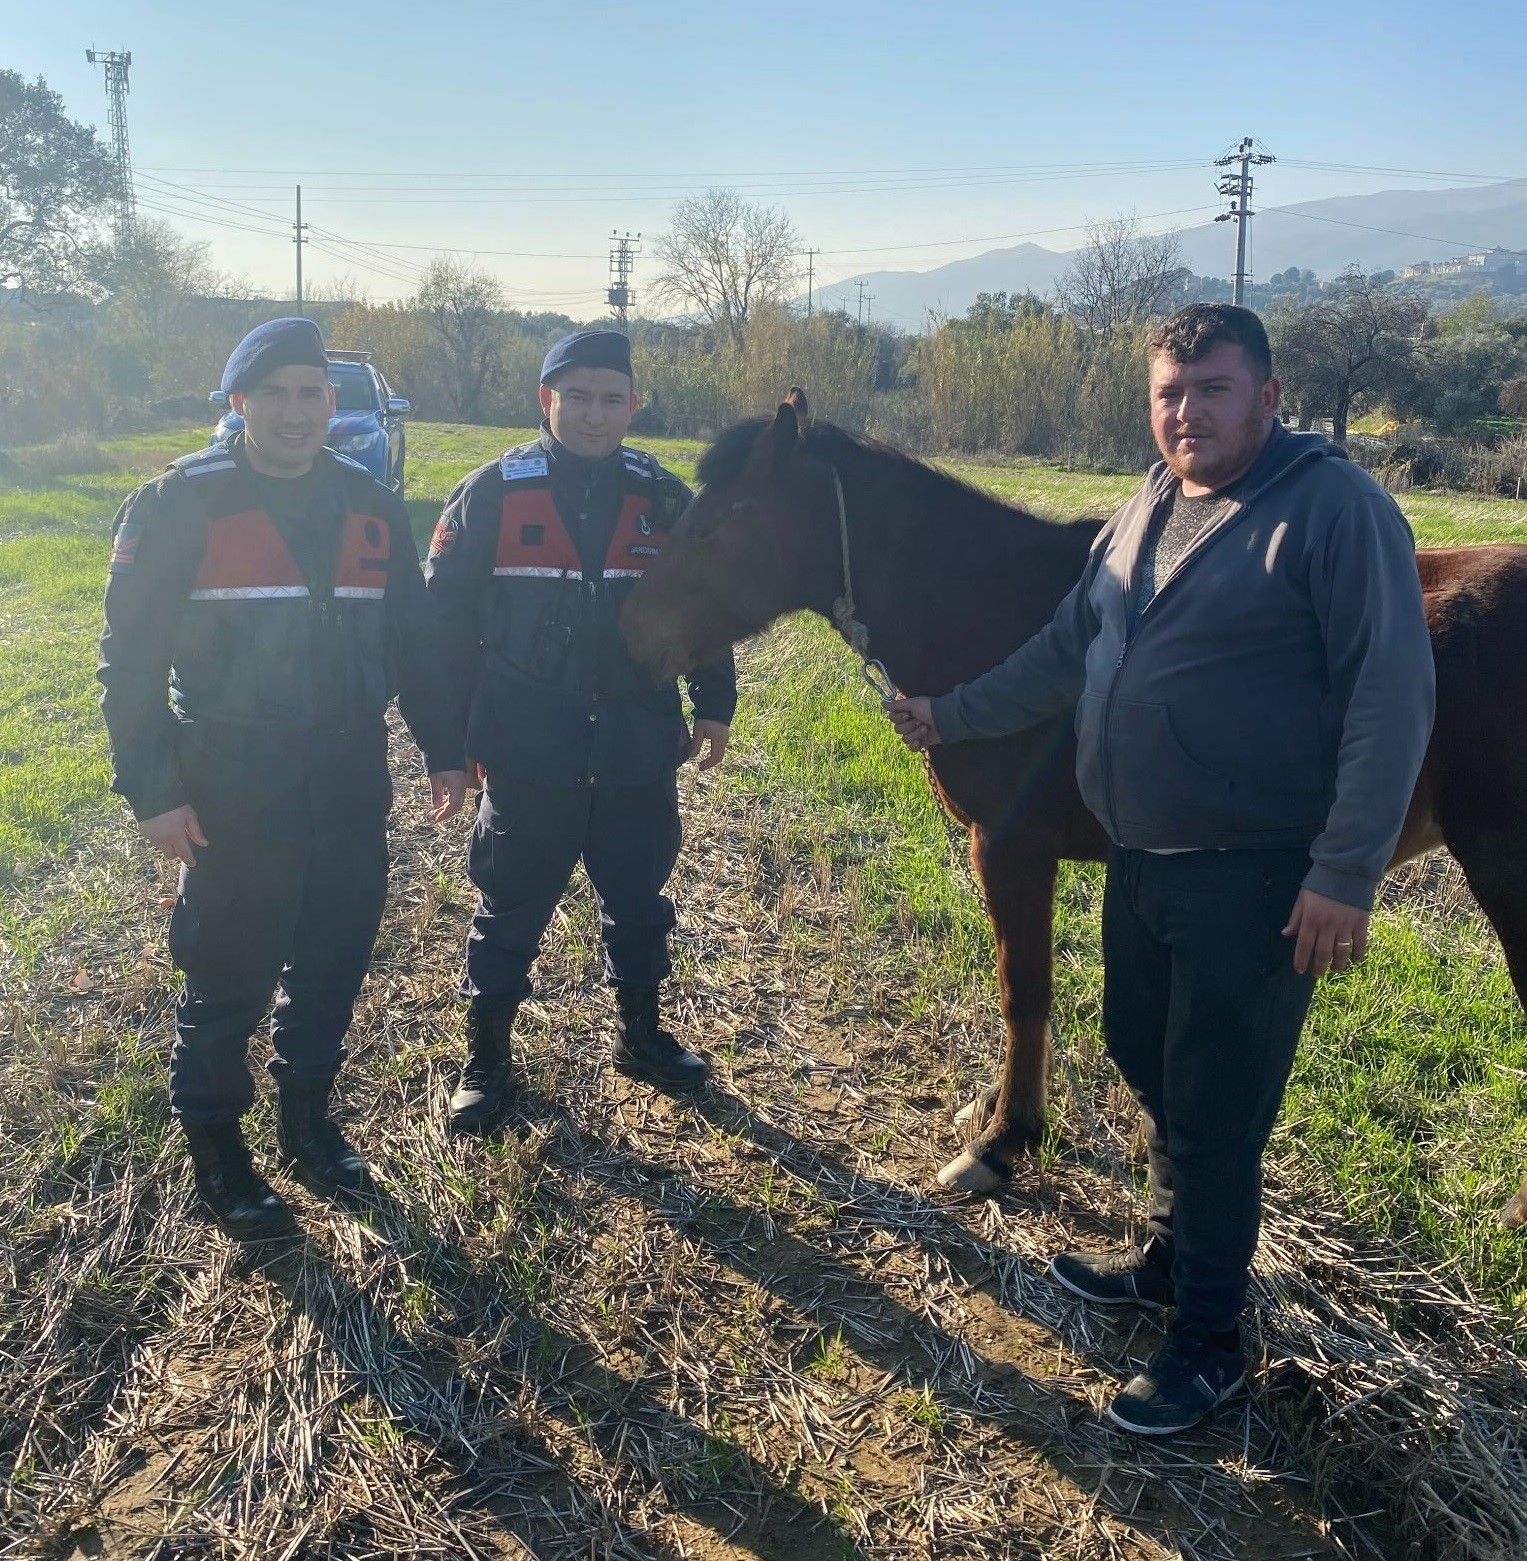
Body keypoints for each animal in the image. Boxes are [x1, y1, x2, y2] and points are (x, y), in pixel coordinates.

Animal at [615, 390, 1523, 1230]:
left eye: (717, 524)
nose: (635, 637)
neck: (989, 610)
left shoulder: (1010, 848)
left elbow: (1024, 990)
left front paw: (1004, 1141)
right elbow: (1023, 988)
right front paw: (996, 1112)